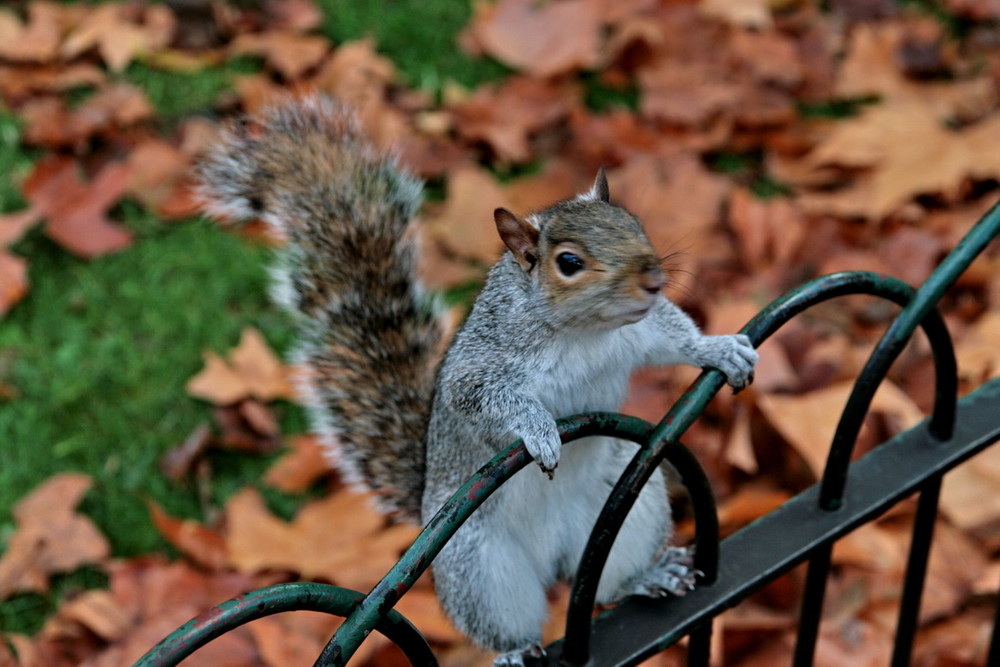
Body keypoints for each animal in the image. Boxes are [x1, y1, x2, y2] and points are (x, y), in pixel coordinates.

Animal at [195, 96, 756, 664]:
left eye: (632, 223)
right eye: (569, 262)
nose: (654, 279)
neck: (585, 334)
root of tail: (556, 556)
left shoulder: (639, 331)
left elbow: (674, 337)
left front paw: (718, 349)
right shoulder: (482, 363)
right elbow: (482, 397)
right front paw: (539, 429)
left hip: (628, 512)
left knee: (609, 582)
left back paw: (648, 576)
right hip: (480, 567)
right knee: (507, 621)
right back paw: (515, 650)